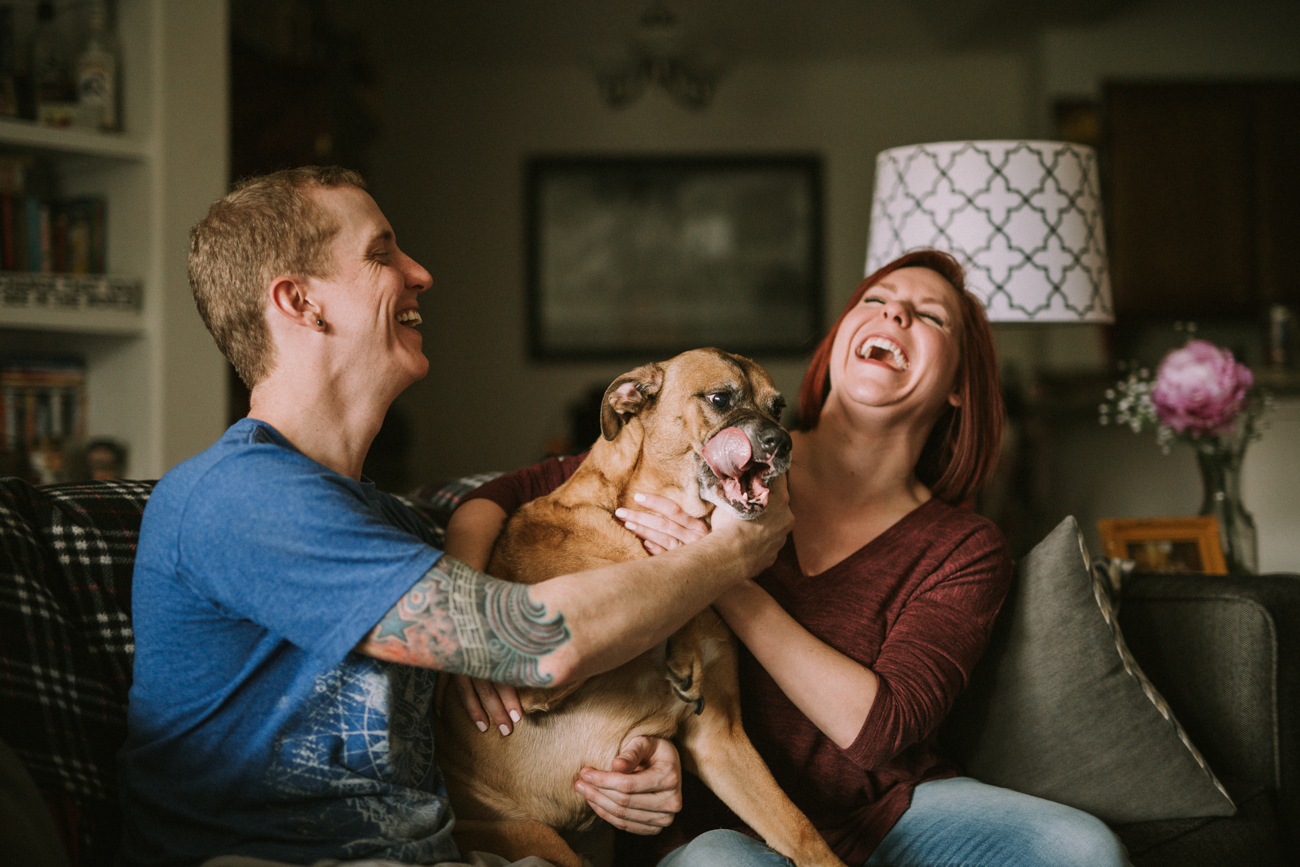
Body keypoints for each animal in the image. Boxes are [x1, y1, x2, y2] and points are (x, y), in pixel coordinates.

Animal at [431, 348, 847, 867]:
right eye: (720, 399)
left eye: (779, 406)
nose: (783, 443)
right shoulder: (537, 677)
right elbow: (652, 589)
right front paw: (681, 649)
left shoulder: (721, 739)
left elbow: (800, 829)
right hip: (533, 836)